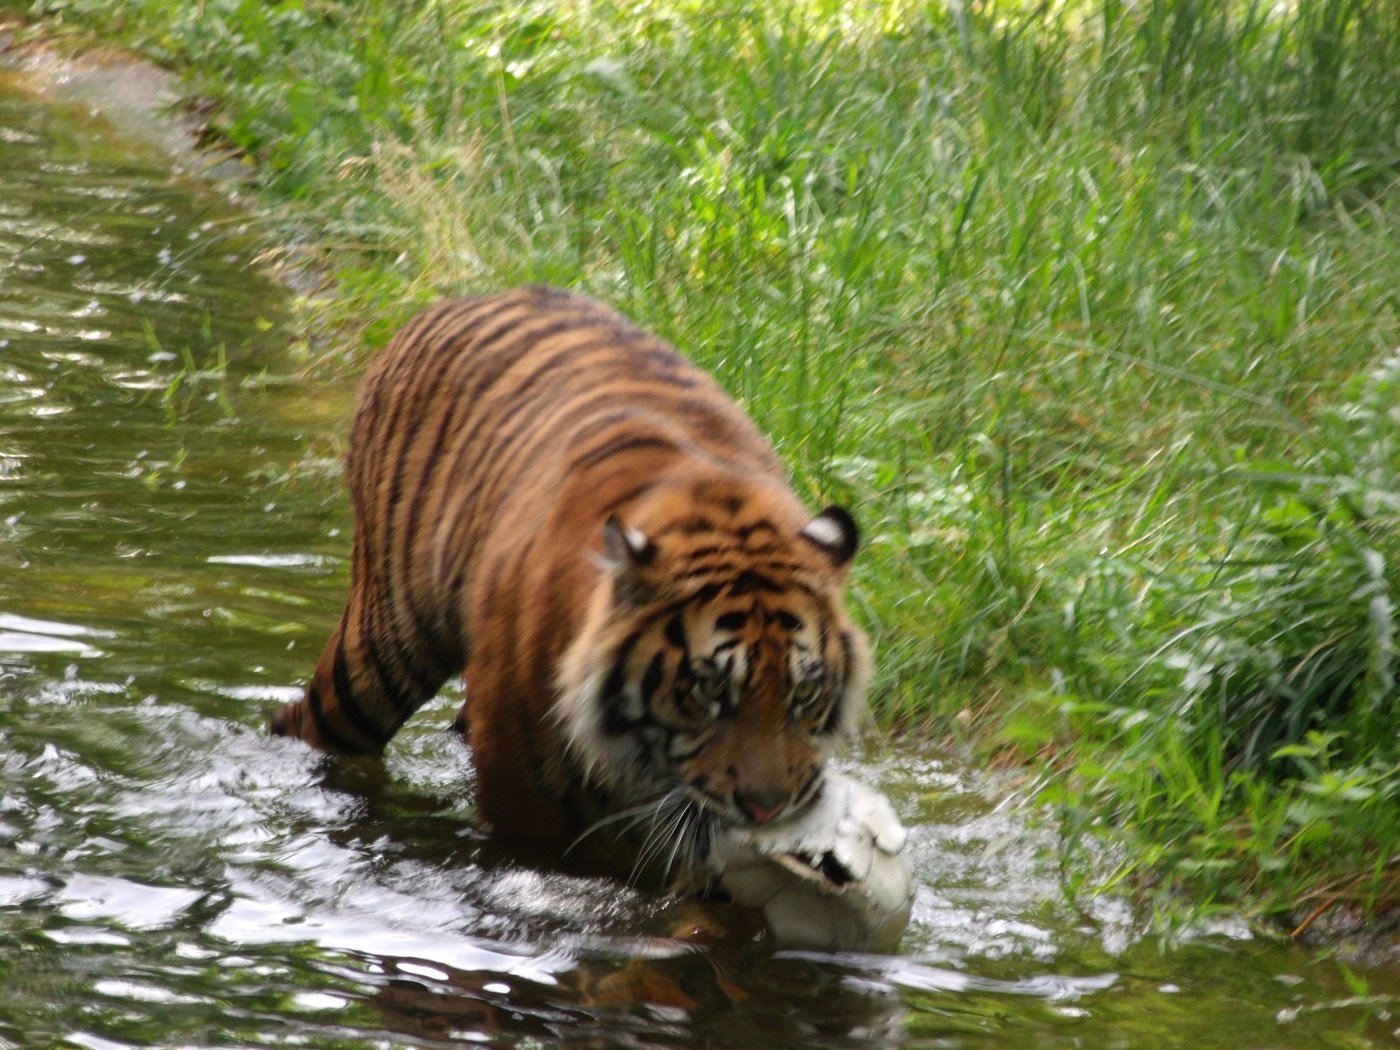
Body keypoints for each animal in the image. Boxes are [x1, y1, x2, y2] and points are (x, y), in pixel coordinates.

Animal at [267, 285, 868, 890]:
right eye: (709, 690)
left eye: (806, 692)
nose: (767, 810)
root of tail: (457, 301)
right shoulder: (526, 813)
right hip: (380, 652)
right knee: (307, 725)